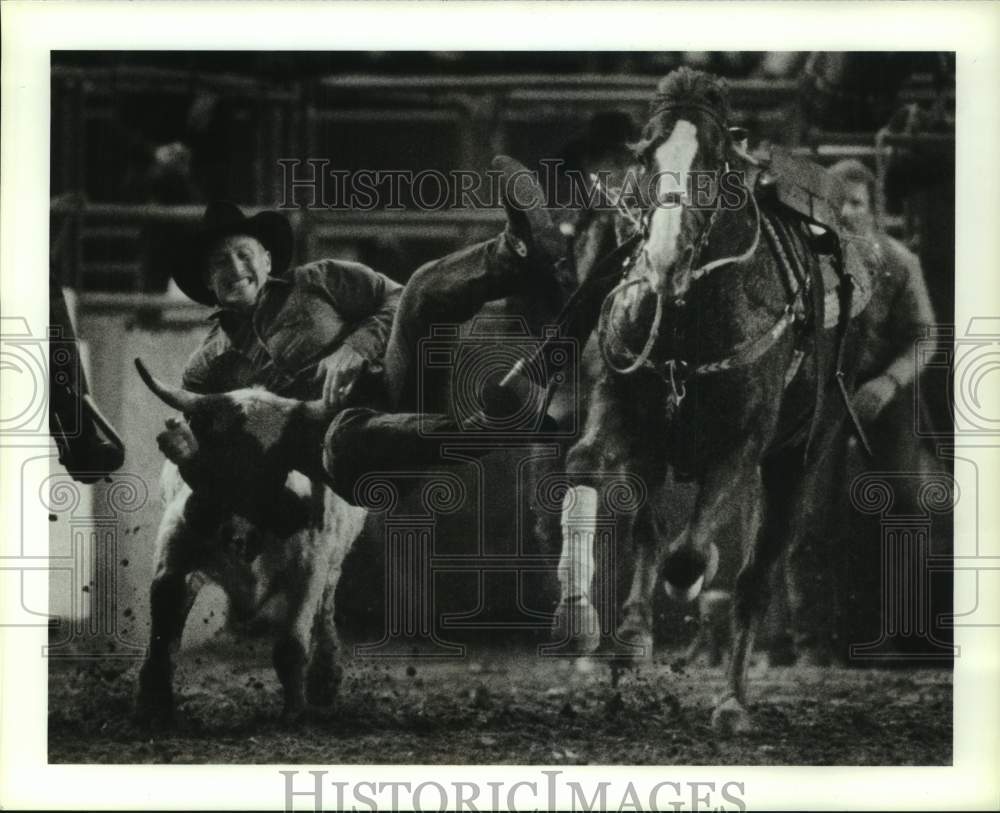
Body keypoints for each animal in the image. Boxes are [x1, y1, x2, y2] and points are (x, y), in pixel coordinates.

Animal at [556, 66, 876, 732]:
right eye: (646, 159)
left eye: (715, 165)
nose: (663, 256)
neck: (688, 317)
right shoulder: (621, 405)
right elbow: (588, 468)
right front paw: (581, 622)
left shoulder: (742, 444)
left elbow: (690, 554)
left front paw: (688, 593)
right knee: (650, 528)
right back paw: (631, 644)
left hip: (799, 455)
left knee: (757, 568)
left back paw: (731, 699)